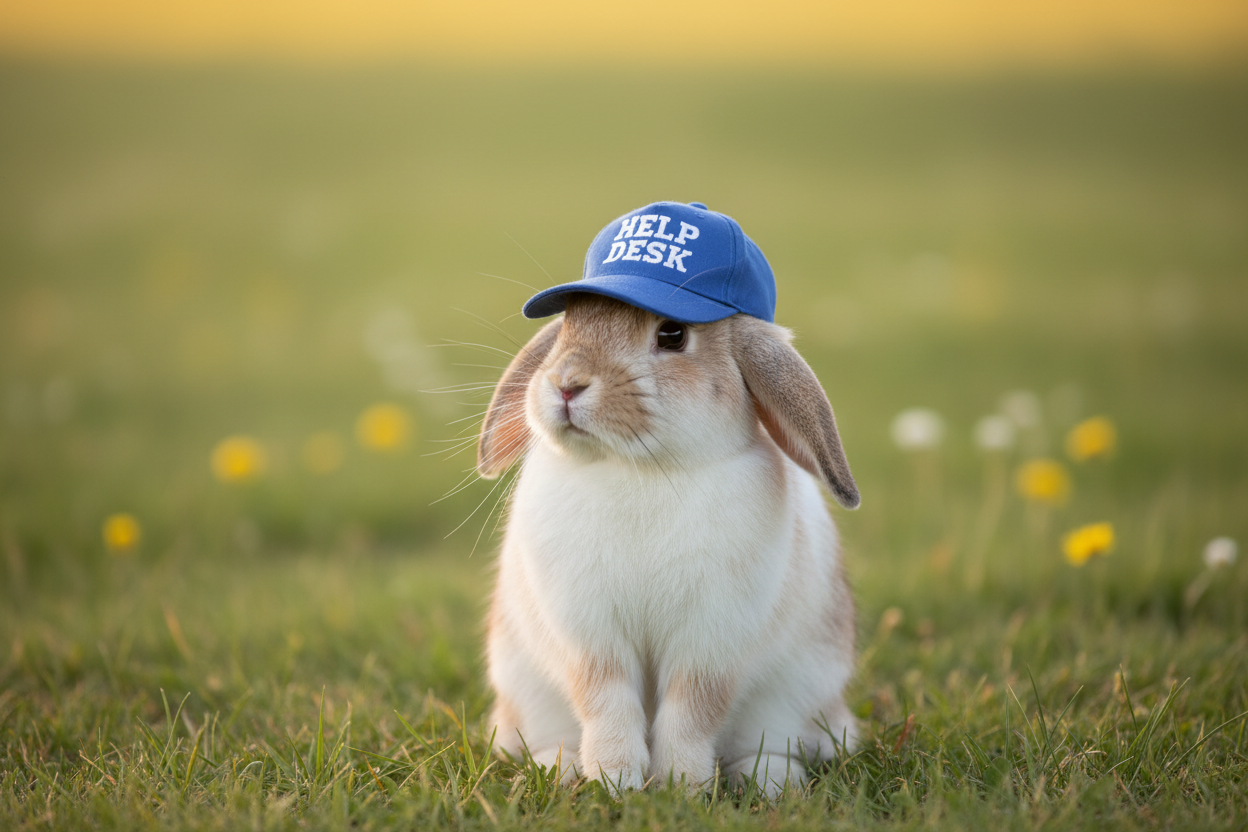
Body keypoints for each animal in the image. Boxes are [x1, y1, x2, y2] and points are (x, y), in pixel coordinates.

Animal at [476, 291, 860, 796]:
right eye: (568, 324)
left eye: (672, 335)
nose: (566, 385)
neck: (641, 469)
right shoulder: (590, 639)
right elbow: (606, 702)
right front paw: (615, 778)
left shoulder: (710, 643)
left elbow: (692, 712)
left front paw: (679, 785)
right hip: (527, 694)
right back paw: (558, 767)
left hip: (795, 696)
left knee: (773, 745)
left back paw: (770, 781)